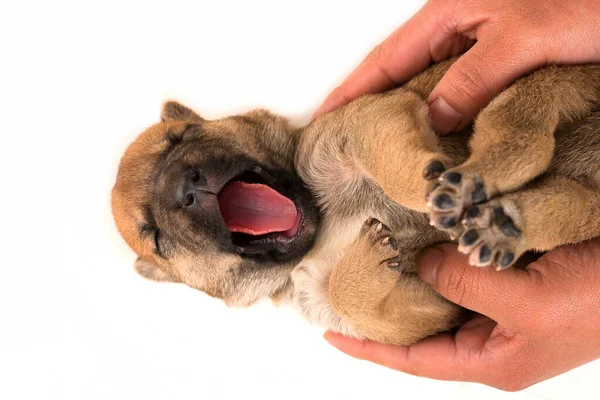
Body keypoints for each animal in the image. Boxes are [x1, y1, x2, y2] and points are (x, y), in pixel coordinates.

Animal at [111, 58, 600, 344]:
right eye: (155, 237)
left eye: (183, 136)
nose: (186, 187)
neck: (322, 230)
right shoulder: (427, 309)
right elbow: (354, 300)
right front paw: (368, 261)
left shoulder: (365, 124)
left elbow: (396, 166)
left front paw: (427, 189)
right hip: (576, 192)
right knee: (570, 202)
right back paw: (503, 221)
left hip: (537, 88)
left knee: (521, 137)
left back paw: (473, 184)